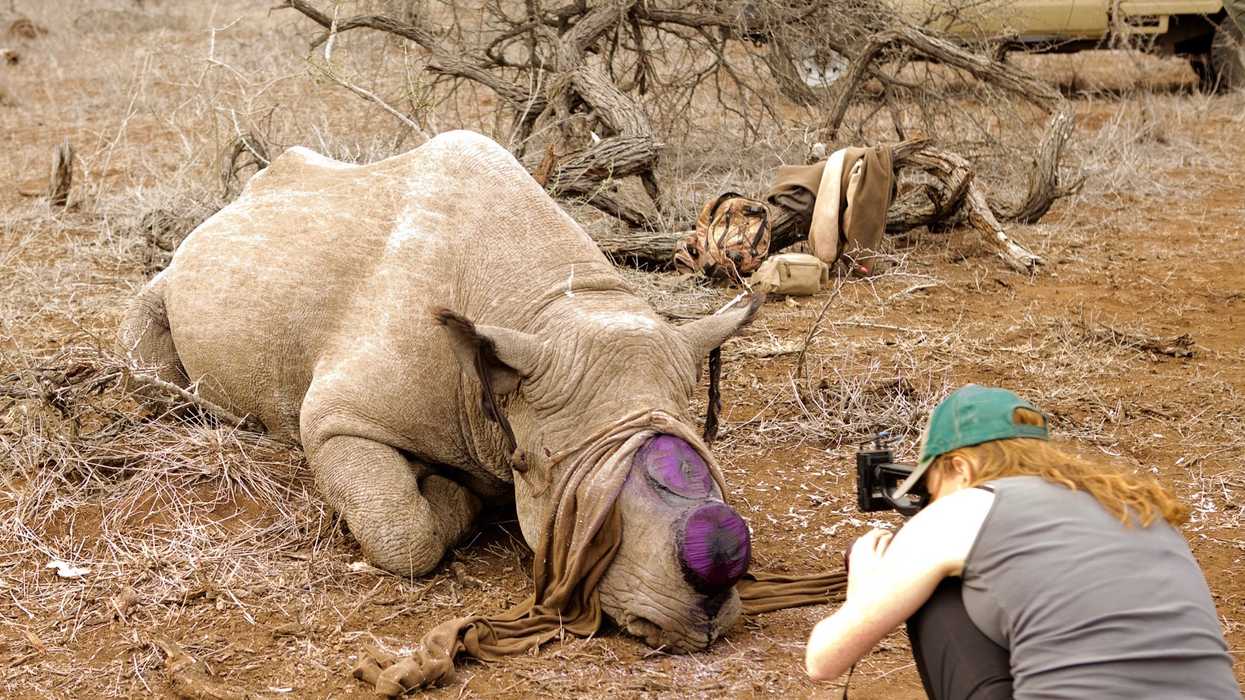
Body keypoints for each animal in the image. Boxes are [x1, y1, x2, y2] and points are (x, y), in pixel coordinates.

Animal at [118, 131, 758, 652]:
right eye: (536, 465)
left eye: (703, 441)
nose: (700, 619)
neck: (548, 306)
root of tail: (234, 201)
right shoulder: (338, 417)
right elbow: (403, 531)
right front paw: (457, 495)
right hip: (179, 272)